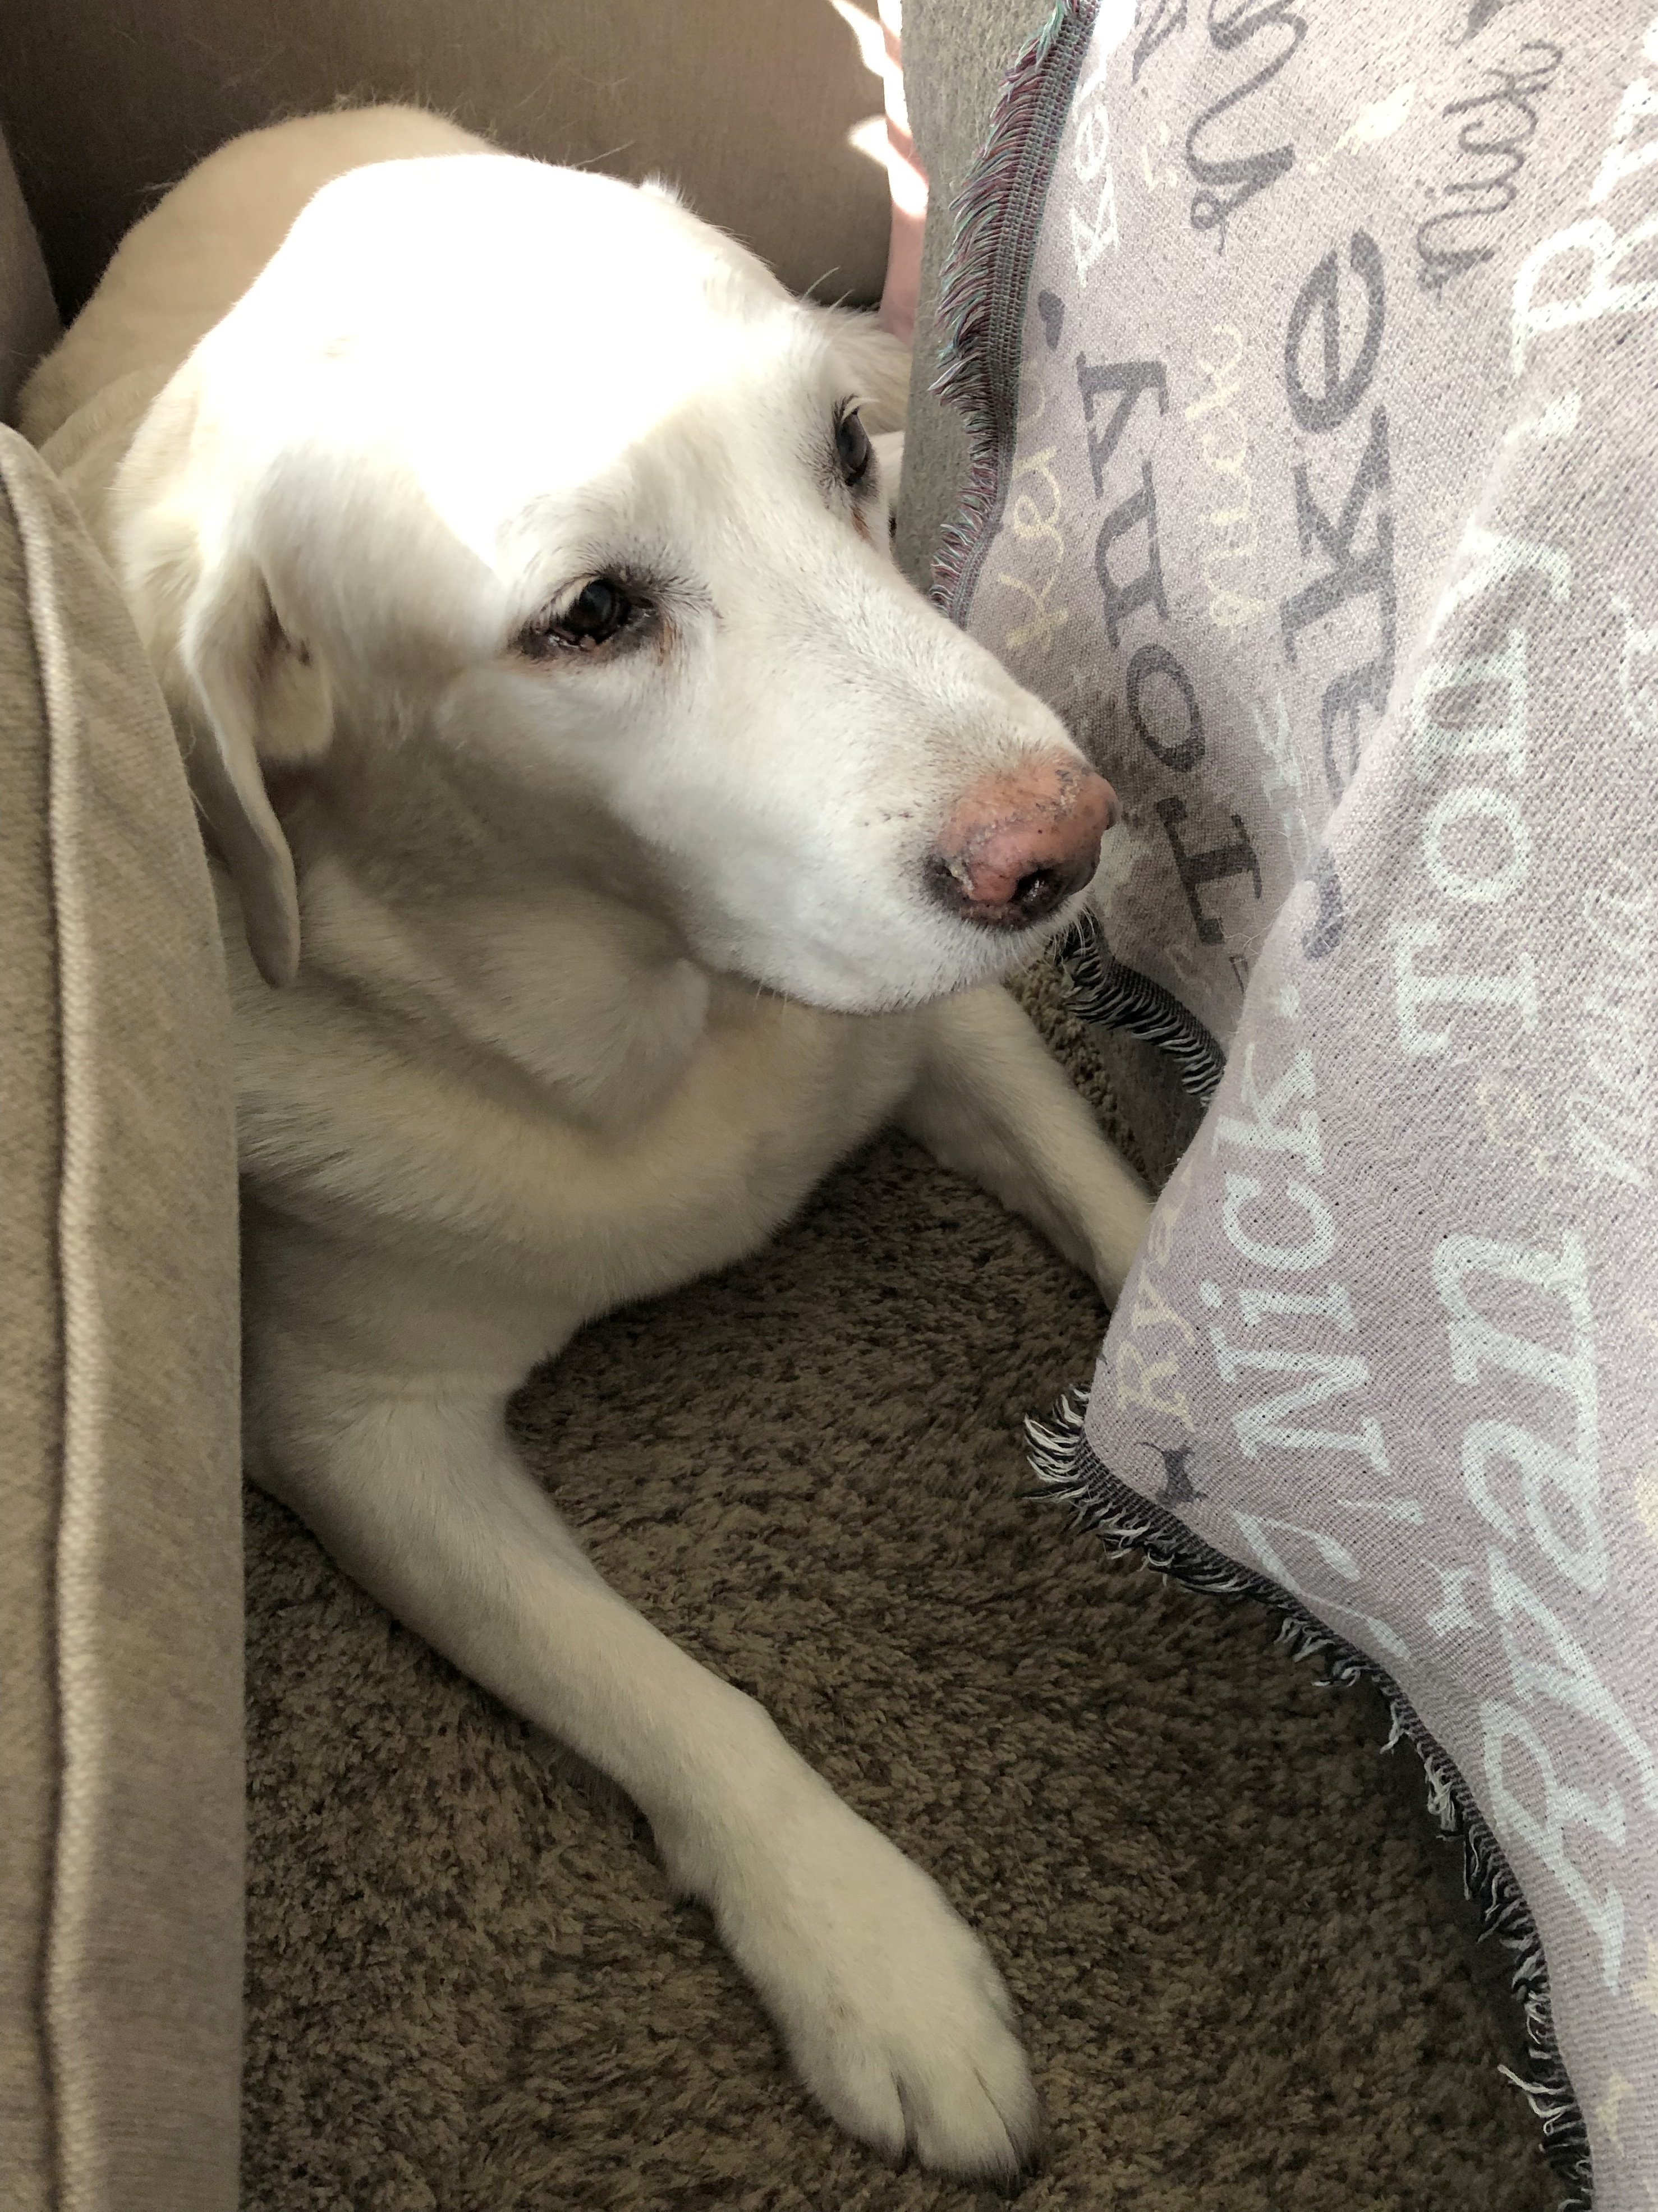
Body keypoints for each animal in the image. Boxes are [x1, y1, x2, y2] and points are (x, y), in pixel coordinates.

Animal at [23, 107, 1151, 2183]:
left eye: (844, 455)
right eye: (591, 618)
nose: (1063, 842)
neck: (658, 1023)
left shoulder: (951, 1030)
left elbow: (1123, 1209)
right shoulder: (355, 1432)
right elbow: (661, 1691)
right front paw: (864, 1943)